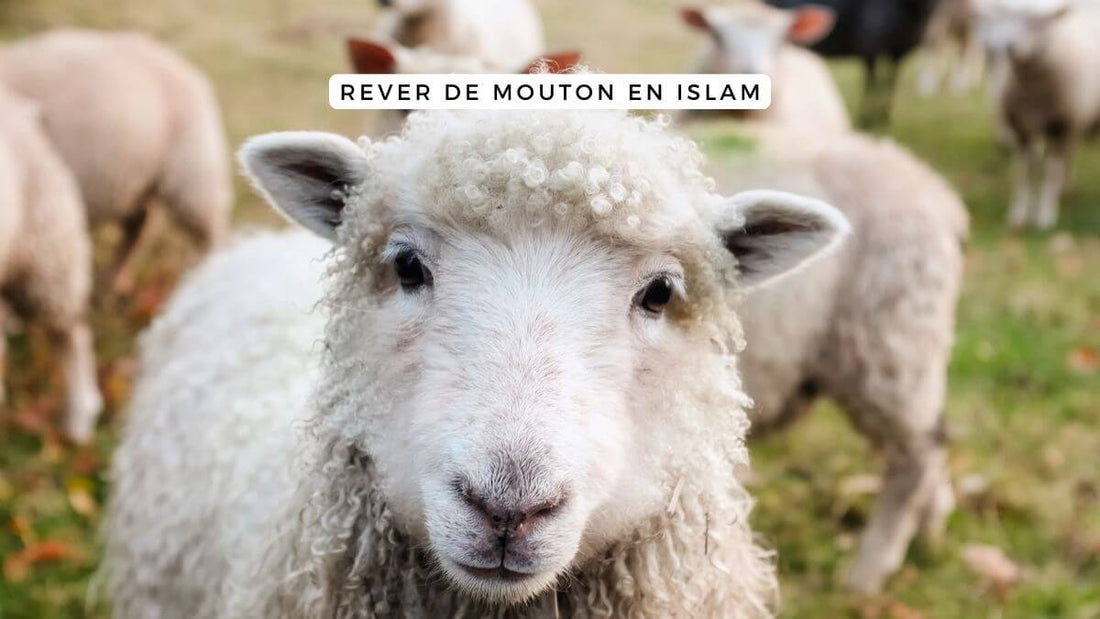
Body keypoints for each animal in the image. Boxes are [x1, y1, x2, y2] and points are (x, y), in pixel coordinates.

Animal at [0, 29, 232, 293]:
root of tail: (186, 68)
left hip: (193, 173)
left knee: (211, 231)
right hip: (135, 179)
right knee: (138, 226)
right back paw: (113, 282)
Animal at [703, 125, 968, 593]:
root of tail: (938, 193)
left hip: (888, 342)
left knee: (918, 455)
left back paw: (869, 572)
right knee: (934, 439)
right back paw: (932, 533)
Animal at [765, 0, 942, 127]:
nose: (930, 6)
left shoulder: (899, 53)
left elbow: (890, 83)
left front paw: (883, 118)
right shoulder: (870, 48)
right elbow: (872, 83)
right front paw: (867, 119)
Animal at [975, 0, 1100, 229]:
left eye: (1039, 22)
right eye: (1006, 16)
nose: (1008, 46)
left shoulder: (1061, 126)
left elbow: (1051, 172)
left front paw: (1045, 215)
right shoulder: (1022, 128)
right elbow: (1024, 171)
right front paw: (1019, 214)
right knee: (1068, 155)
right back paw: (1065, 189)